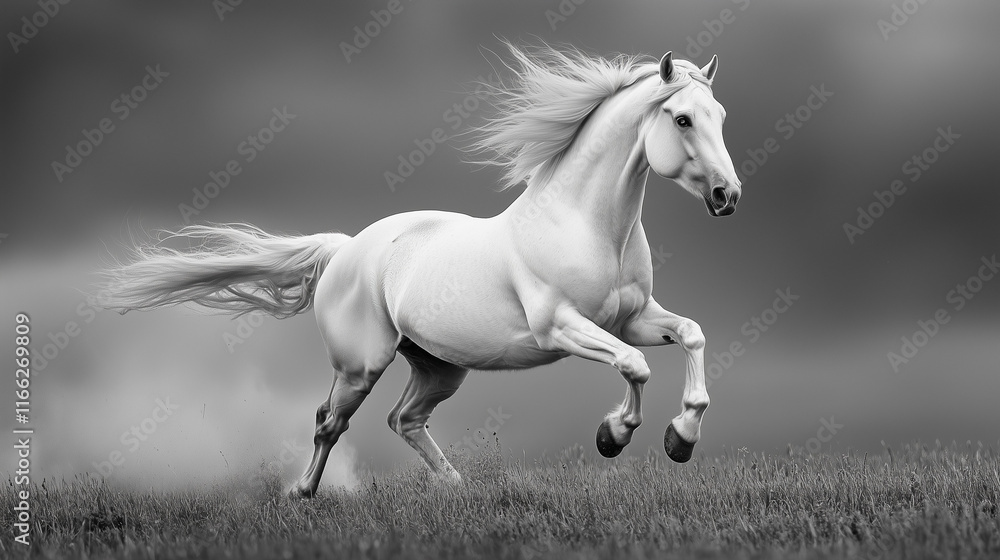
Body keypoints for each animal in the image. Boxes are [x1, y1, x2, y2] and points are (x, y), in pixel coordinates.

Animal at [102, 43, 742, 498]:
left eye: (720, 115)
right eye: (682, 119)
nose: (727, 195)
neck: (583, 224)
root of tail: (346, 250)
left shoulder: (633, 318)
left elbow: (690, 335)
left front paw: (680, 439)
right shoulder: (560, 326)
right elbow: (634, 366)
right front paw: (615, 435)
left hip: (439, 367)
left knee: (403, 420)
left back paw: (454, 487)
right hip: (362, 364)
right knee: (330, 422)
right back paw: (302, 493)